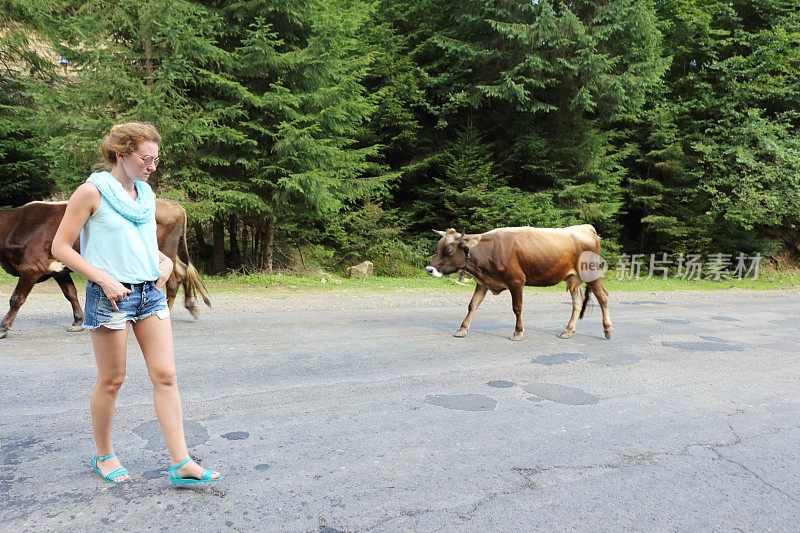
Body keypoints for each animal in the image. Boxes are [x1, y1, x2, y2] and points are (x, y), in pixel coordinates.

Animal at [0, 197, 209, 338]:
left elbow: (16, 299)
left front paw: (3, 328)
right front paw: (78, 321)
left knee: (172, 280)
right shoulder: (57, 269)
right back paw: (188, 306)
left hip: (163, 254)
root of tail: (173, 204)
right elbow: (71, 293)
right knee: (182, 272)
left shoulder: (31, 268)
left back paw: (165, 312)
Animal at [424, 224, 612, 340]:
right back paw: (568, 331)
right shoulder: (483, 282)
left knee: (603, 297)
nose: (429, 269)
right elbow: (473, 305)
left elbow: (517, 308)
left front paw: (518, 332)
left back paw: (607, 329)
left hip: (591, 273)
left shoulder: (517, 281)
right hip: (572, 278)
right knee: (577, 302)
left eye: (449, 251)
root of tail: (586, 228)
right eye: (437, 248)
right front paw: (462, 329)